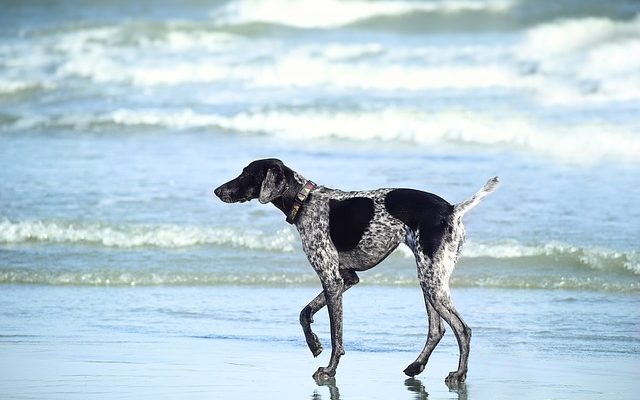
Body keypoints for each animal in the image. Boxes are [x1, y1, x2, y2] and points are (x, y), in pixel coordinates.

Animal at [215, 158, 500, 382]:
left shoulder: (332, 280)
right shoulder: (346, 278)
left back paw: (459, 374)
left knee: (462, 329)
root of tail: (452, 210)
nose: (217, 190)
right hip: (429, 281)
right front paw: (313, 344)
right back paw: (416, 366)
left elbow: (336, 335)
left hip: (432, 282)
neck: (304, 201)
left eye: (246, 174)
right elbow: (305, 313)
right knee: (436, 330)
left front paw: (329, 370)